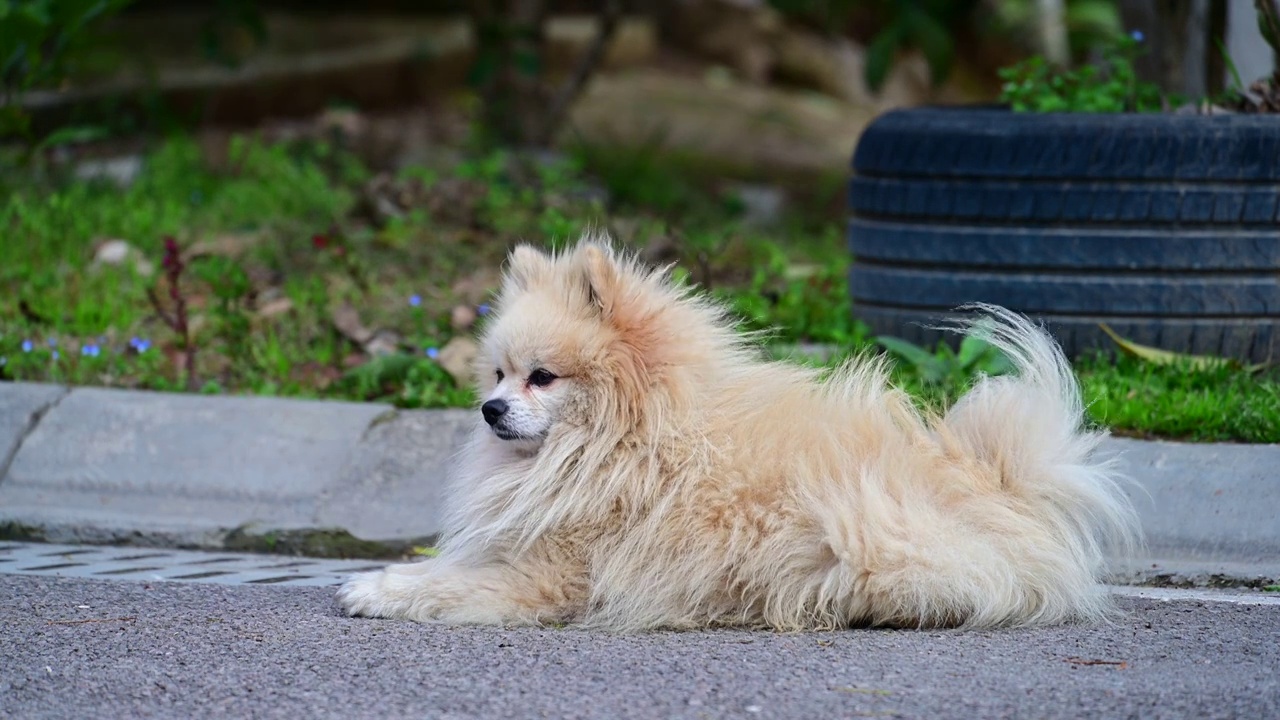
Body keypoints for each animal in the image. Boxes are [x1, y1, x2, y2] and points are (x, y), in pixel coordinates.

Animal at [337, 237, 1141, 627]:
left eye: (543, 378)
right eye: (499, 375)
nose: (490, 410)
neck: (618, 443)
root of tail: (1003, 482)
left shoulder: (550, 574)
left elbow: (455, 586)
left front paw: (380, 591)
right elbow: (443, 567)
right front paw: (383, 578)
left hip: (862, 527)